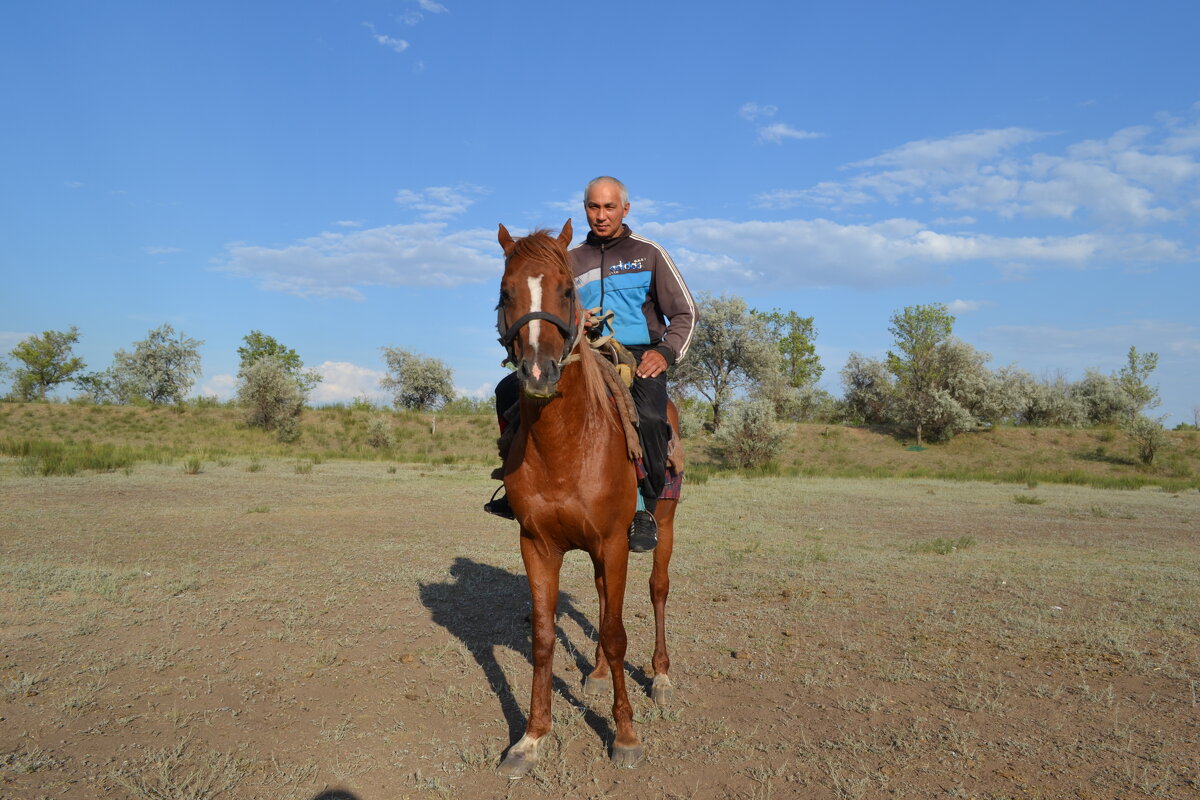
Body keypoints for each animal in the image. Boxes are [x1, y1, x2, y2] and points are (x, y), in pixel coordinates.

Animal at [489, 217, 676, 777]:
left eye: (567, 291)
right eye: (505, 292)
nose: (537, 373)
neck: (567, 446)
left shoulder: (615, 542)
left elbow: (616, 636)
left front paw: (626, 734)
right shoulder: (537, 544)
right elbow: (544, 637)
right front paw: (531, 737)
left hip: (663, 525)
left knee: (658, 589)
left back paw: (661, 675)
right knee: (599, 596)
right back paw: (592, 675)